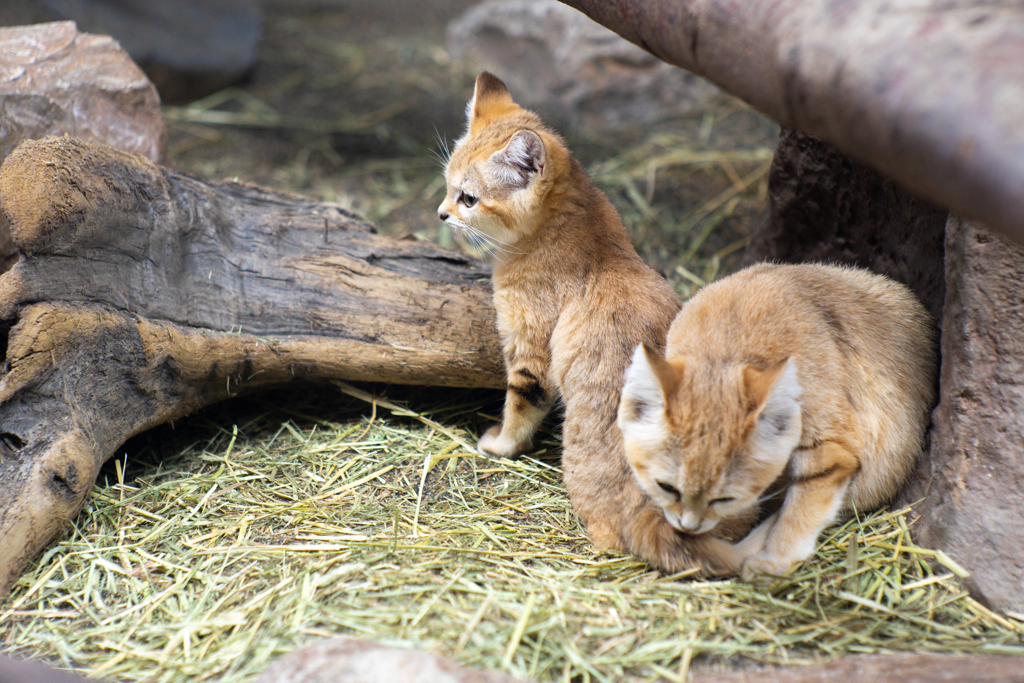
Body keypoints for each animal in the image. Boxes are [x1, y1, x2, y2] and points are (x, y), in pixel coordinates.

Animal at [436, 70, 757, 573]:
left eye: (468, 197)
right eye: (448, 187)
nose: (441, 214)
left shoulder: (529, 351)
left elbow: (519, 407)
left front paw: (499, 445)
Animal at [614, 264, 937, 581]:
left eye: (726, 499)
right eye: (667, 488)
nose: (687, 528)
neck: (727, 349)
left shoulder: (830, 449)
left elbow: (801, 510)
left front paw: (775, 559)